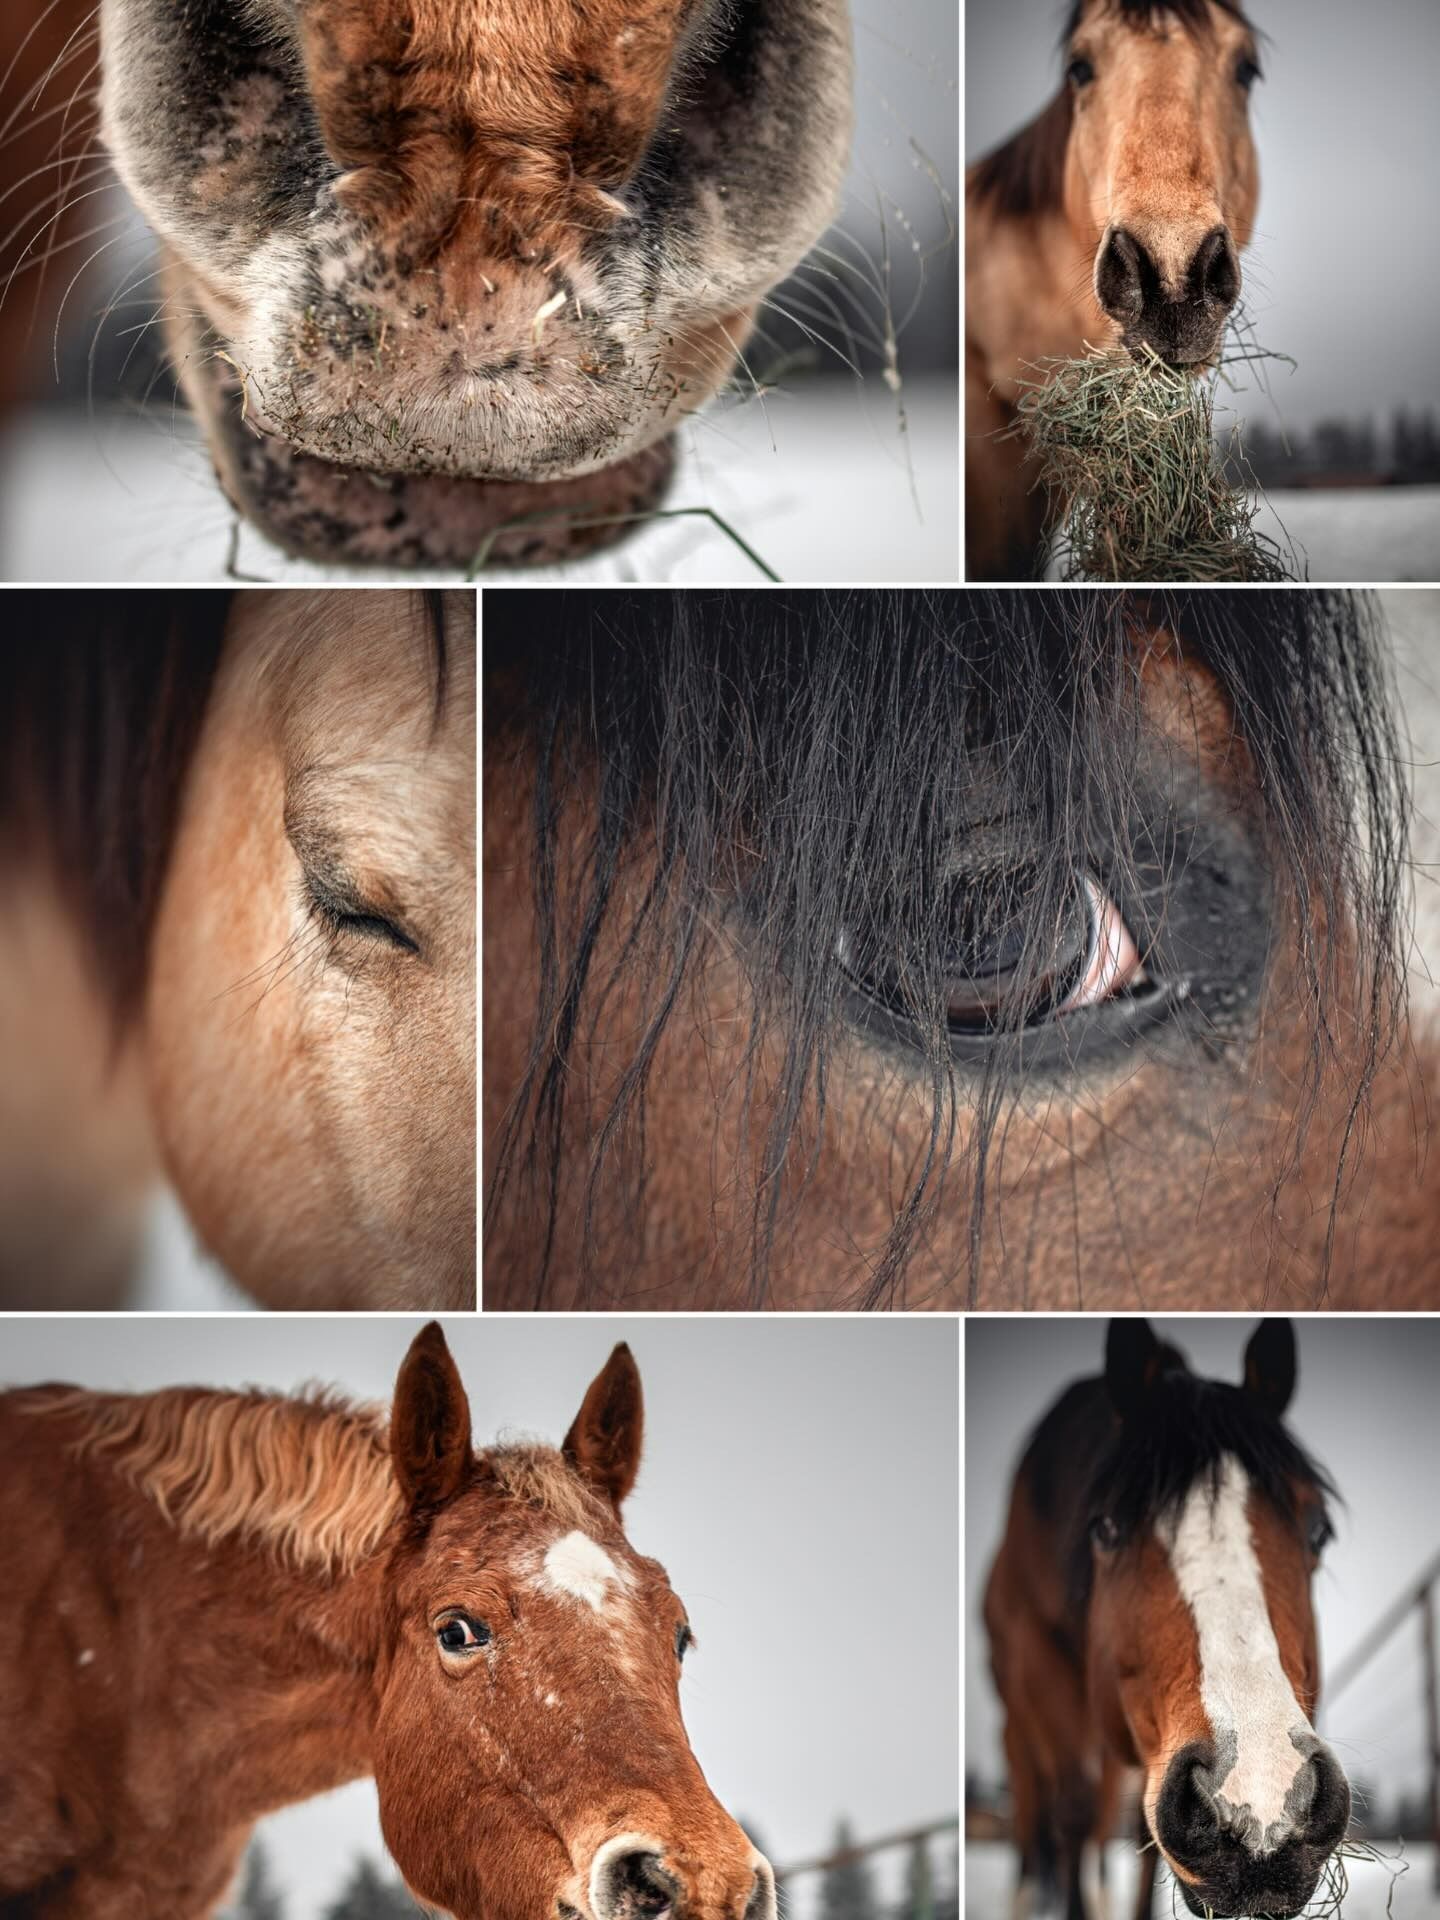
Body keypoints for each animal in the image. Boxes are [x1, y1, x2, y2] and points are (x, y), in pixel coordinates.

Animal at [983, 1317, 1349, 1920]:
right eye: (1105, 1528)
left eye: (1319, 1530)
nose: (1261, 1801)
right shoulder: (1043, 1667)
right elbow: (1072, 1810)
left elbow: (1139, 1837)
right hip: (1020, 1720)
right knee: (1037, 1810)